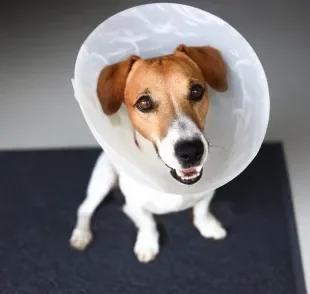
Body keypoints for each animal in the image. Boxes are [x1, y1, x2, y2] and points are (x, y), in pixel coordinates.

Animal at [69, 44, 228, 262]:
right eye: (144, 103)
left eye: (196, 91)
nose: (191, 151)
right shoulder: (136, 203)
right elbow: (148, 223)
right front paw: (147, 245)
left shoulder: (208, 192)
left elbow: (201, 209)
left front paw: (209, 226)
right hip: (103, 179)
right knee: (85, 208)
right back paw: (81, 235)